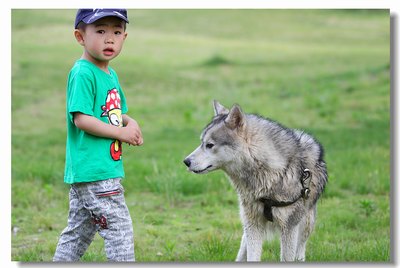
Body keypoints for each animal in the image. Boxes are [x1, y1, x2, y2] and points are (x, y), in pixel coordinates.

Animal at [184, 101, 328, 262]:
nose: (186, 161)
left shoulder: (290, 227)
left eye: (209, 145)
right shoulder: (253, 224)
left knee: (301, 246)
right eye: (201, 143)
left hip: (306, 223)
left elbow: (287, 257)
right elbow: (252, 256)